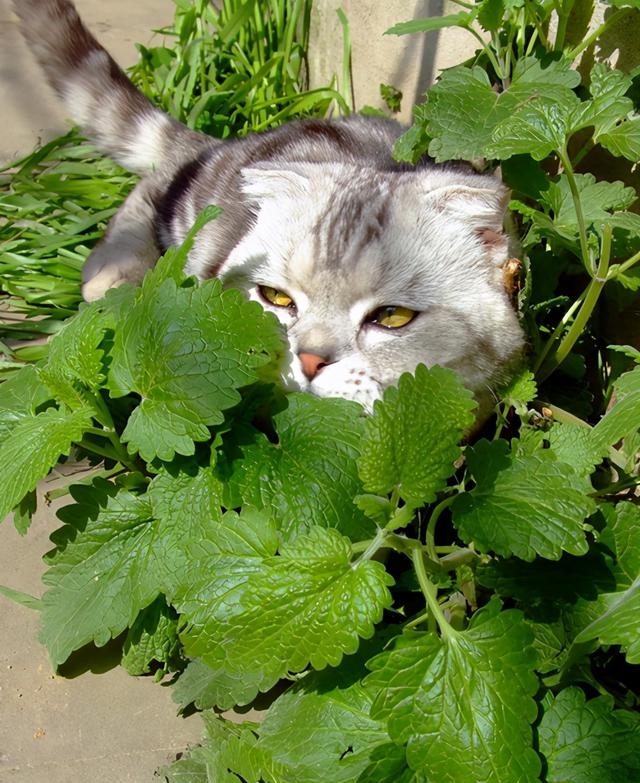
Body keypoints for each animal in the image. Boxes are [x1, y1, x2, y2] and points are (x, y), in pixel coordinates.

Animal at [11, 0, 524, 420]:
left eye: (393, 317)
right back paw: (112, 275)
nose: (310, 361)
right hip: (187, 210)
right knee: (153, 185)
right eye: (276, 298)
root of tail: (229, 144)